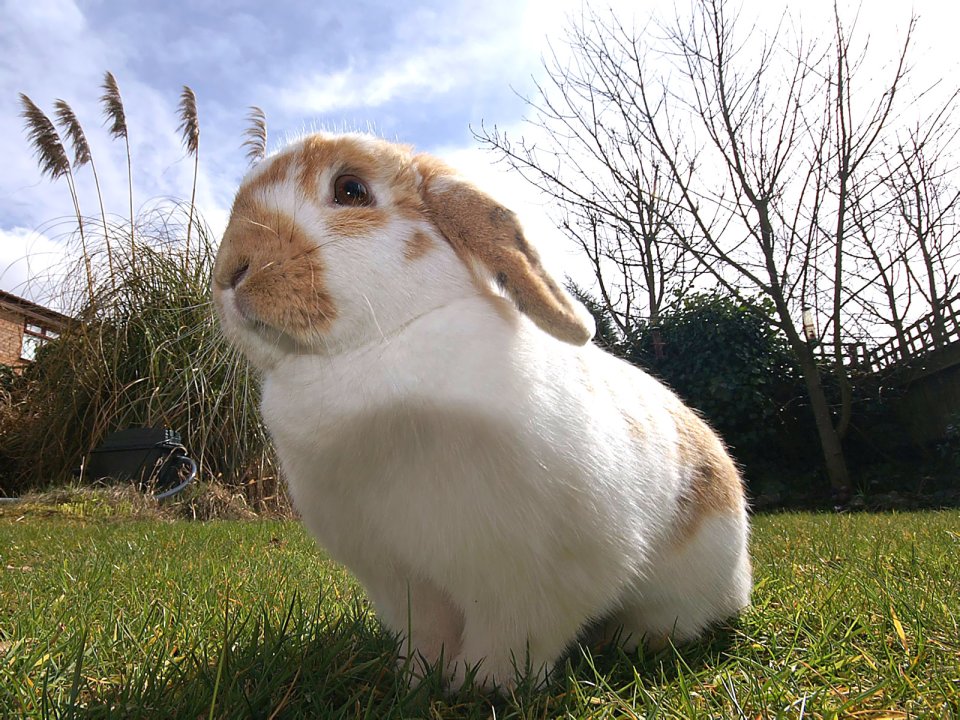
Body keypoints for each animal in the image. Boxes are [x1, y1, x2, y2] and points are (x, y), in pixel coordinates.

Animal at [212, 132, 752, 691]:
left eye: (350, 189)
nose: (231, 270)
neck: (373, 354)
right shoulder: (401, 579)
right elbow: (426, 633)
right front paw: (418, 681)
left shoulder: (531, 577)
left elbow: (512, 638)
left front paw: (486, 687)